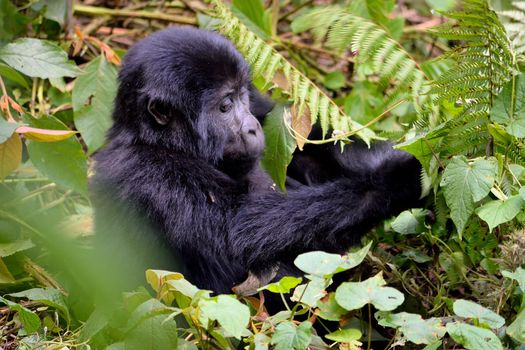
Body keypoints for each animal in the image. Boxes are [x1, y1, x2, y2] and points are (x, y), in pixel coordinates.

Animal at [91, 27, 422, 294]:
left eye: (242, 95)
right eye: (225, 106)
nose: (252, 127)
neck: (154, 139)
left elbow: (303, 138)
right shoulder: (152, 175)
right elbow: (240, 233)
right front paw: (396, 180)